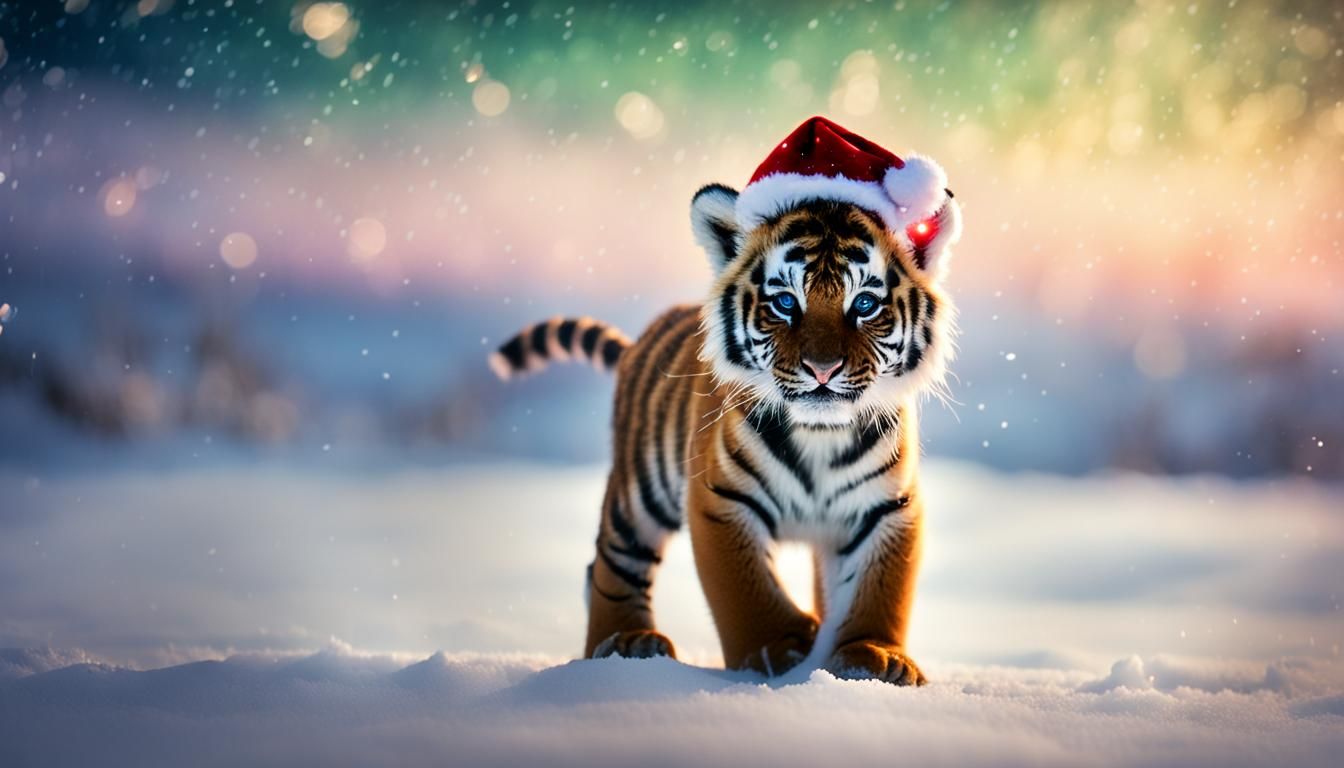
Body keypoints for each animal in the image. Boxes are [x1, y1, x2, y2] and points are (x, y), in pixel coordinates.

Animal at [490, 117, 961, 685]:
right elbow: (743, 586)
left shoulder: (888, 507)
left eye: (865, 303)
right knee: (610, 562)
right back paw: (623, 642)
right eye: (786, 302)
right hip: (639, 489)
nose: (822, 369)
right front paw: (778, 648)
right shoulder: (720, 497)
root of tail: (639, 342)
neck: (821, 435)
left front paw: (873, 656)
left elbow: (882, 589)